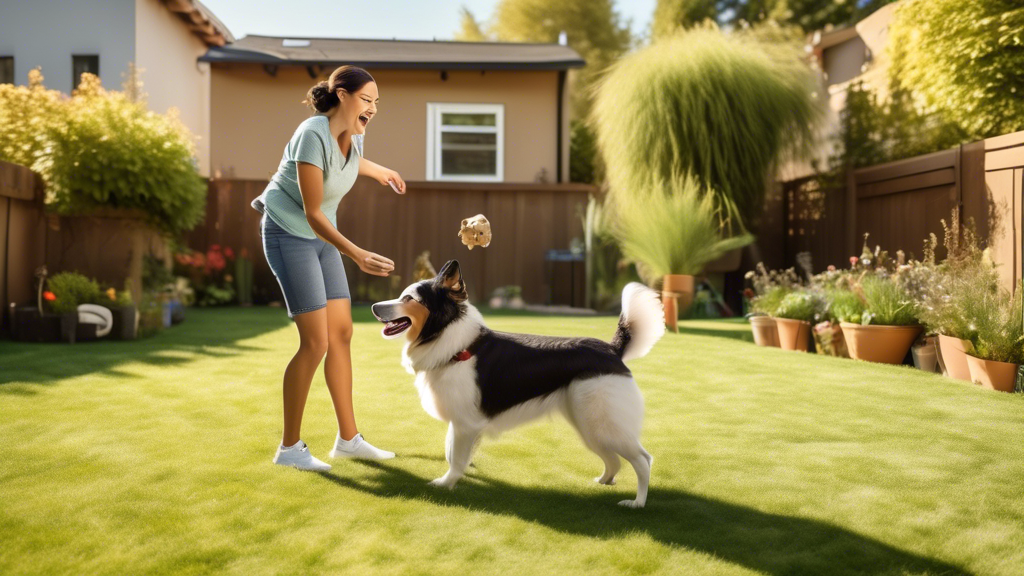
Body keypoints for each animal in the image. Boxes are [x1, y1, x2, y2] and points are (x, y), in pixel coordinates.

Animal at [370, 260, 663, 506]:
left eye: (408, 298)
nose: (374, 307)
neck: (454, 343)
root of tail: (612, 350)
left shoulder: (466, 424)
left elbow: (456, 457)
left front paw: (445, 484)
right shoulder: (461, 422)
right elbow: (452, 451)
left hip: (604, 422)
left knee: (643, 460)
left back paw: (637, 503)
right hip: (590, 424)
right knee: (613, 459)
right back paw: (604, 481)